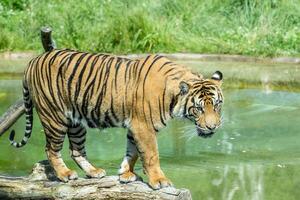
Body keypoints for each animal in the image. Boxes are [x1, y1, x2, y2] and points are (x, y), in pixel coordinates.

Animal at [5, 32, 224, 189]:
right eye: (198, 109)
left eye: (217, 105)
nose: (213, 127)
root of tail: (34, 59)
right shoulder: (143, 126)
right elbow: (151, 154)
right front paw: (159, 181)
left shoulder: (135, 126)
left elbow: (132, 152)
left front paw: (126, 174)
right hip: (54, 117)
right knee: (51, 149)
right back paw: (65, 174)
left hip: (76, 121)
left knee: (76, 150)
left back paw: (94, 172)